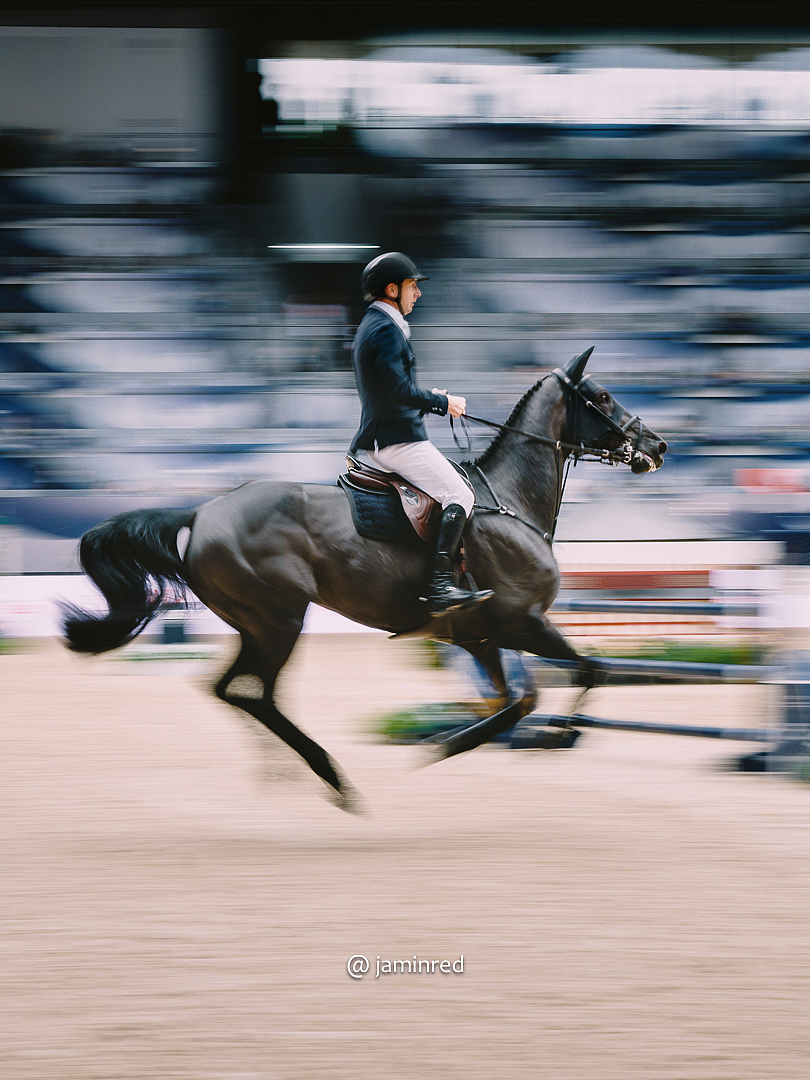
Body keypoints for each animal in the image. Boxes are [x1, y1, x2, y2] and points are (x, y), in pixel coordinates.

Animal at [62, 347, 667, 812]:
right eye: (602, 396)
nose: (658, 447)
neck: (510, 503)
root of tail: (200, 513)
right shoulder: (522, 623)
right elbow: (586, 671)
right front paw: (554, 734)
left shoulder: (480, 635)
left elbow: (516, 700)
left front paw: (448, 744)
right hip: (279, 621)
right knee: (253, 694)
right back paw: (330, 775)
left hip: (257, 626)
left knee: (234, 691)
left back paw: (297, 774)